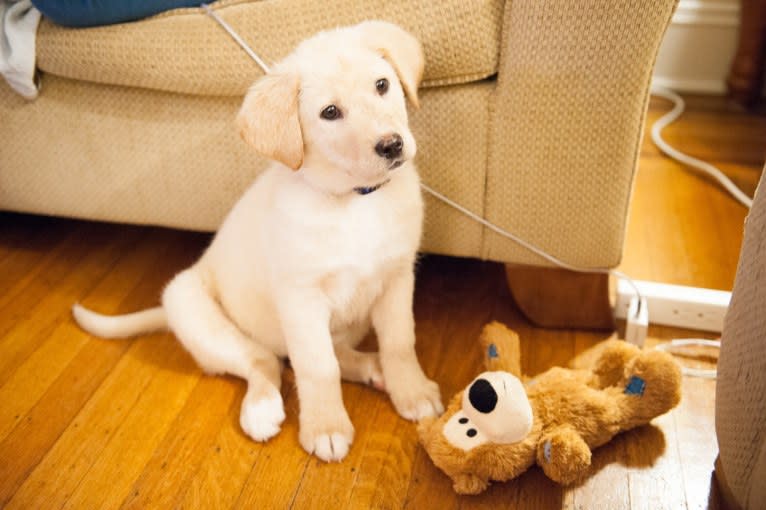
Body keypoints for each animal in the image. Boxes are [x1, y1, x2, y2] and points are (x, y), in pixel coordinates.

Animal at [73, 21, 444, 462]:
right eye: (330, 113)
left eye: (382, 85)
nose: (391, 145)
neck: (355, 201)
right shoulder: (300, 298)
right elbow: (317, 367)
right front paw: (326, 426)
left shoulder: (397, 277)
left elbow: (400, 342)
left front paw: (412, 391)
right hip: (192, 307)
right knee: (265, 362)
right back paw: (262, 407)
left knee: (327, 354)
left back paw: (373, 369)